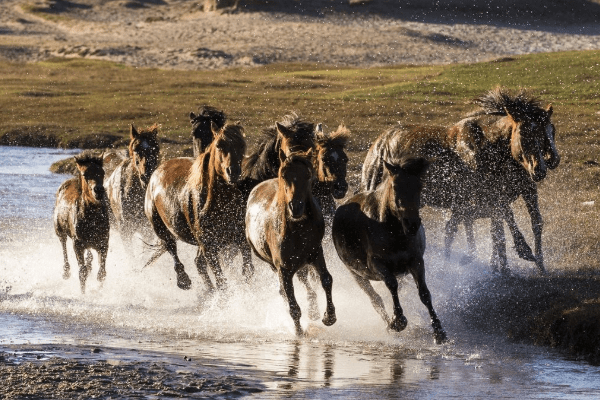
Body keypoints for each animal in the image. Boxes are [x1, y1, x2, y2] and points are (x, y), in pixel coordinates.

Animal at [52, 152, 109, 292]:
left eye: (102, 172)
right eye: (85, 174)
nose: (98, 190)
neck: (92, 219)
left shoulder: (103, 242)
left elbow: (102, 273)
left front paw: (100, 290)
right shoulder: (78, 243)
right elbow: (82, 272)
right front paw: (83, 293)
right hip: (59, 231)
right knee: (63, 245)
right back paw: (66, 272)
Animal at [144, 122, 247, 290]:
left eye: (242, 144)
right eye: (219, 145)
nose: (233, 172)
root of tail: (156, 172)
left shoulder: (240, 239)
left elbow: (248, 271)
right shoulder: (209, 247)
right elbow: (222, 282)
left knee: (199, 263)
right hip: (161, 228)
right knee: (172, 248)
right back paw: (183, 280)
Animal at [245, 150, 338, 334]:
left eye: (308, 175)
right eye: (283, 174)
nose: (296, 207)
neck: (297, 229)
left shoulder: (316, 253)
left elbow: (326, 279)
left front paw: (329, 317)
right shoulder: (283, 268)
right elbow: (292, 302)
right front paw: (299, 332)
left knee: (304, 280)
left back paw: (314, 310)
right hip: (274, 265)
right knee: (284, 290)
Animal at [332, 155, 446, 342]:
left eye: (419, 187)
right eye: (395, 186)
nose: (412, 224)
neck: (393, 231)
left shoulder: (416, 261)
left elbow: (424, 293)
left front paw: (439, 331)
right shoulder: (377, 264)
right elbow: (392, 285)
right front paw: (398, 320)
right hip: (356, 274)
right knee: (375, 299)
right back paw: (388, 325)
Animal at [360, 87, 556, 274]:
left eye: (547, 134)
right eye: (524, 135)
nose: (541, 169)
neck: (489, 147)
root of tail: (376, 147)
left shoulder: (509, 192)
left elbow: (510, 225)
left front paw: (529, 265)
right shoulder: (491, 194)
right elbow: (504, 222)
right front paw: (523, 252)